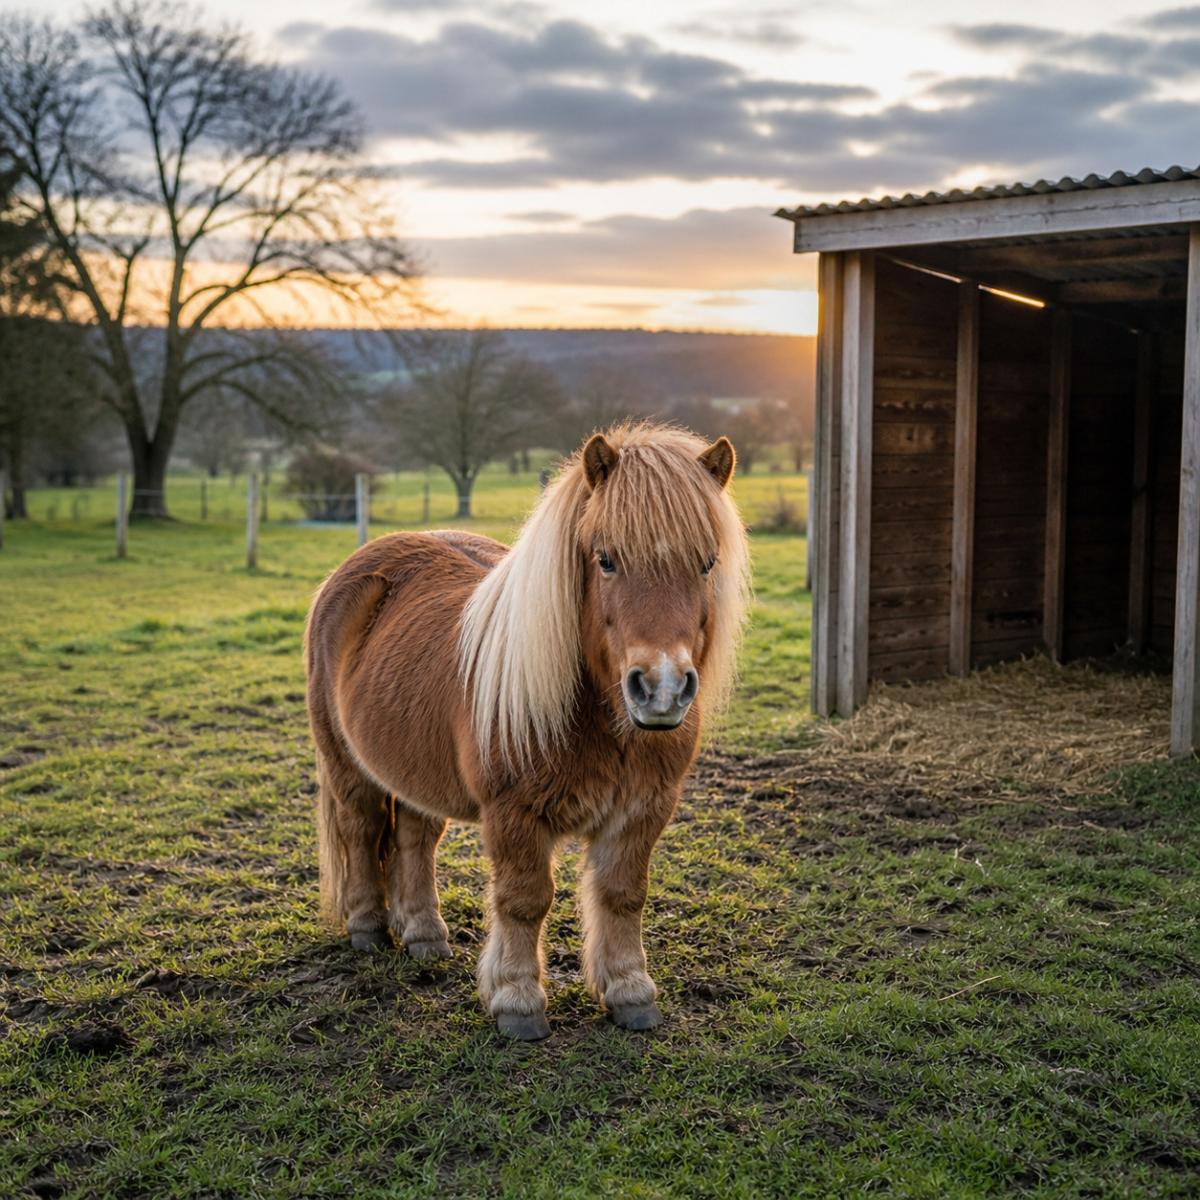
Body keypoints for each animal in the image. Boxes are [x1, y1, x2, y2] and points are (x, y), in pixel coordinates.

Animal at [305, 422, 750, 1039]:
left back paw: (424, 936)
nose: (661, 687)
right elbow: (524, 900)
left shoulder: (643, 809)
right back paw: (368, 929)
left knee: (414, 839)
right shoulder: (514, 816)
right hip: (348, 766)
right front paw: (517, 1001)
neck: (600, 722)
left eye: (707, 563)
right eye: (605, 560)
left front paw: (630, 991)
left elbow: (623, 895)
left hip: (414, 769)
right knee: (362, 829)